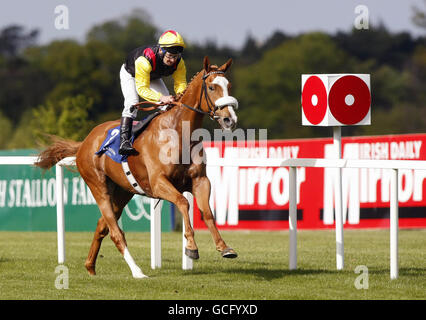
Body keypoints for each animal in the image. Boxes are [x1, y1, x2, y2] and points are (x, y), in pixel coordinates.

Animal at [35, 57, 238, 278]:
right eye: (211, 87)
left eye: (229, 86)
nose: (229, 119)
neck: (178, 133)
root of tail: (85, 142)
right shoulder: (158, 183)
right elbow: (183, 202)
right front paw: (191, 247)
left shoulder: (200, 180)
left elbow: (207, 212)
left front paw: (224, 247)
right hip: (98, 186)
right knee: (115, 232)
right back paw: (137, 271)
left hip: (123, 191)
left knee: (102, 225)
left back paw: (90, 266)